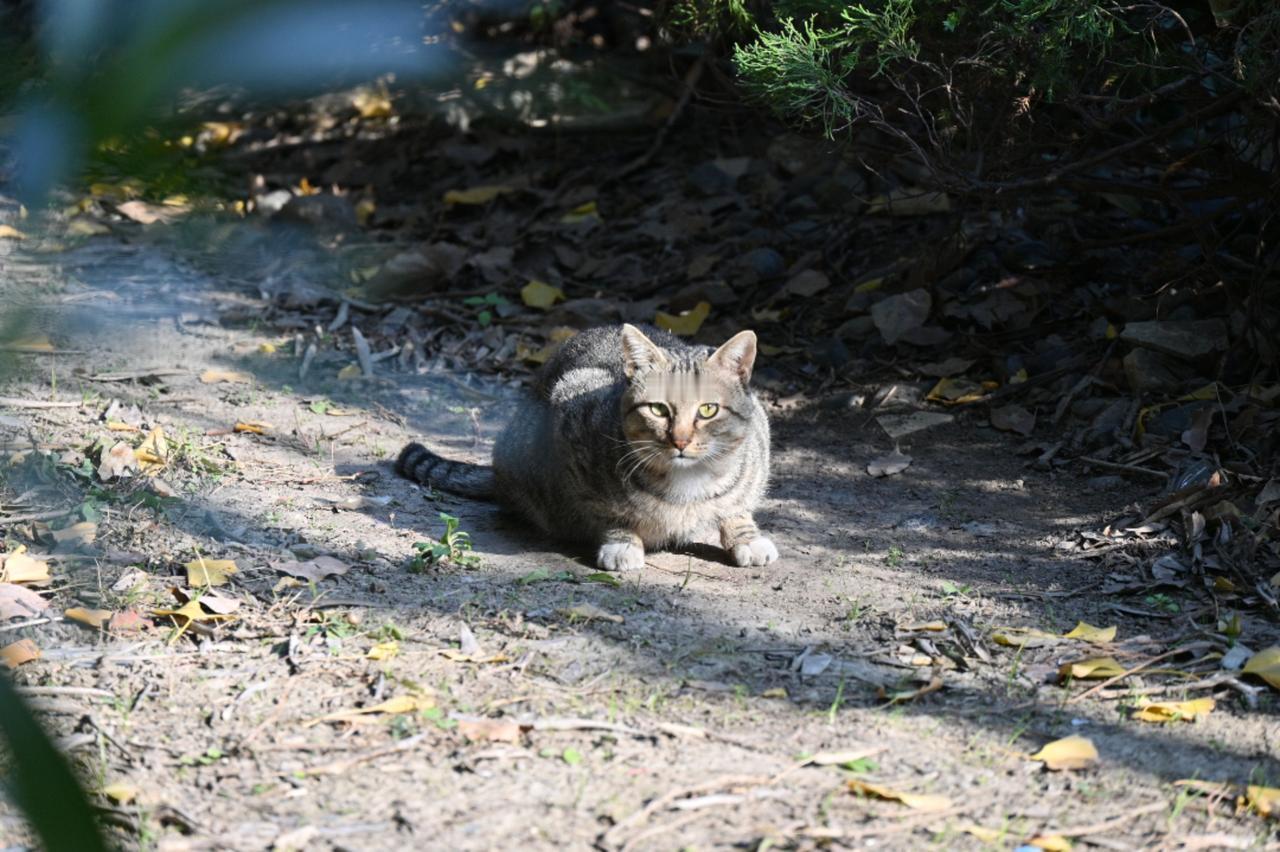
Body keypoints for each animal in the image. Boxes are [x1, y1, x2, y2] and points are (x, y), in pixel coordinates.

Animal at [396, 324, 778, 570]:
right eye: (658, 409)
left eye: (708, 410)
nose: (680, 440)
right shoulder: (571, 436)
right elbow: (609, 511)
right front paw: (622, 541)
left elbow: (737, 504)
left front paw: (745, 536)